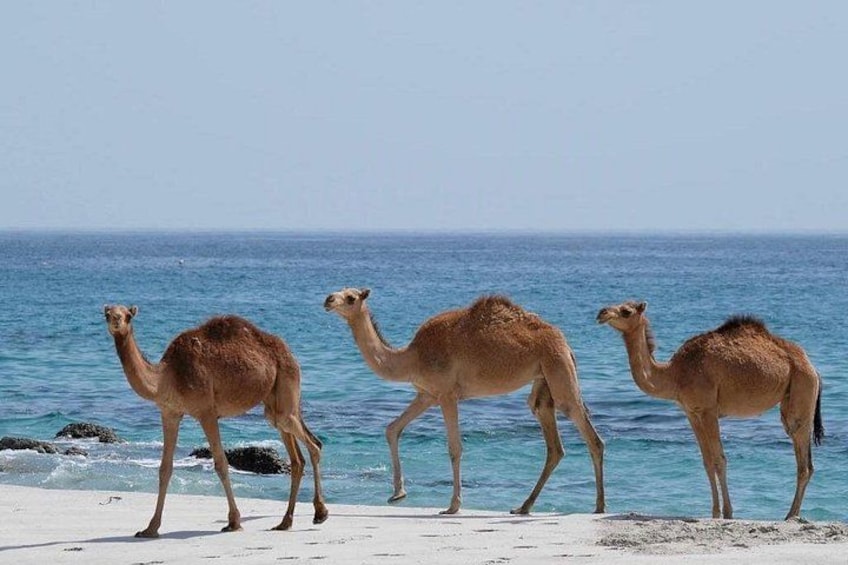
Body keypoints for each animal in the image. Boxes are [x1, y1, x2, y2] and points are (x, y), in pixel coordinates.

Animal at [104, 304, 328, 537]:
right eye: (107, 314)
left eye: (128, 316)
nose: (116, 321)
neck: (169, 376)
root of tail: (290, 353)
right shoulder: (170, 413)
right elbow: (165, 468)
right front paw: (150, 528)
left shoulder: (206, 412)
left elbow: (221, 463)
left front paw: (234, 522)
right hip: (274, 405)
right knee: (297, 457)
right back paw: (285, 522)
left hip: (286, 383)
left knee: (314, 445)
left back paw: (320, 513)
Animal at [324, 288, 605, 515]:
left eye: (351, 297)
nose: (328, 299)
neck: (412, 357)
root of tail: (566, 343)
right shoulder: (427, 394)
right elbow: (392, 428)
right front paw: (397, 493)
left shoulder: (447, 394)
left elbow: (454, 448)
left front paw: (453, 505)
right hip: (543, 381)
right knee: (554, 444)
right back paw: (524, 507)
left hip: (558, 368)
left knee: (589, 433)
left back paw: (599, 506)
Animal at [596, 301, 824, 520]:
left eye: (626, 311)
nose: (601, 313)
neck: (675, 374)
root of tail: (812, 367)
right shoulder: (692, 413)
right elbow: (707, 461)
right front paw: (714, 512)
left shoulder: (709, 410)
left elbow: (719, 459)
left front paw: (728, 513)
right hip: (789, 399)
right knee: (804, 458)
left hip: (802, 387)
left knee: (803, 461)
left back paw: (791, 515)